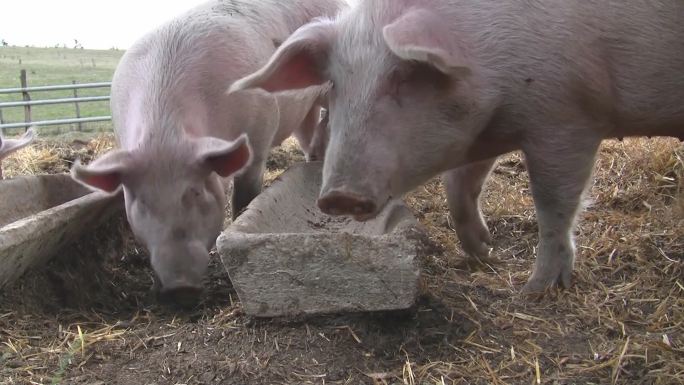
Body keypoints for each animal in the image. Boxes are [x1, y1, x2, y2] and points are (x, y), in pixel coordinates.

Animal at [72, 0, 344, 306]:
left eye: (196, 192)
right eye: (141, 202)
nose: (180, 287)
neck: (165, 136)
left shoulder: (259, 136)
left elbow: (244, 198)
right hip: (304, 111)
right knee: (310, 137)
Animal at [231, 0, 684, 292]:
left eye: (404, 76)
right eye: (334, 85)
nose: (338, 196)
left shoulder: (567, 119)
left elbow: (553, 204)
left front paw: (535, 291)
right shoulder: (486, 127)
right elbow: (461, 185)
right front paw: (484, 253)